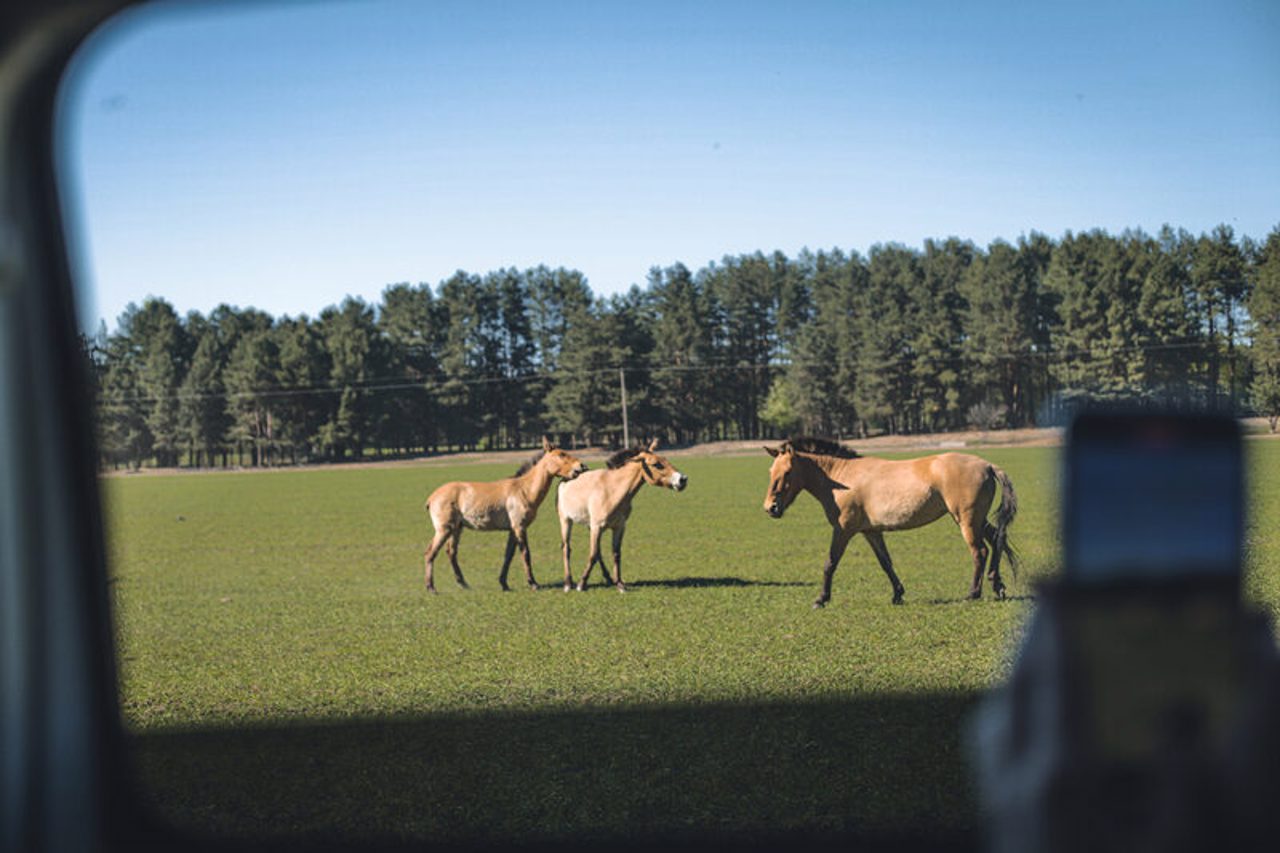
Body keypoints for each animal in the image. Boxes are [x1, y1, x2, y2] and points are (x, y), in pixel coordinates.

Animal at [427, 435, 591, 589]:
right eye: (561, 454)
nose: (582, 466)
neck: (524, 490)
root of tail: (431, 498)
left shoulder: (513, 530)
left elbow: (509, 556)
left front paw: (504, 583)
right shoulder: (519, 527)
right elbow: (525, 553)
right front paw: (533, 583)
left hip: (457, 528)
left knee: (451, 552)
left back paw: (463, 584)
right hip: (444, 529)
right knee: (430, 552)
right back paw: (431, 587)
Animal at [555, 435, 686, 589]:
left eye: (665, 459)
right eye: (657, 464)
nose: (682, 479)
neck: (611, 490)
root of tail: (564, 480)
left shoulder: (618, 527)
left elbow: (616, 554)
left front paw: (619, 583)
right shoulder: (597, 527)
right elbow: (592, 555)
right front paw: (582, 584)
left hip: (589, 526)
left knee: (598, 552)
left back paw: (608, 578)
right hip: (566, 521)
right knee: (566, 549)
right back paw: (568, 583)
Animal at [757, 435, 1018, 607]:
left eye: (787, 473)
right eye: (770, 472)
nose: (770, 508)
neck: (841, 478)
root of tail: (986, 465)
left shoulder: (843, 530)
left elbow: (830, 562)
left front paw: (821, 598)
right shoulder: (871, 532)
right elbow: (885, 563)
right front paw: (898, 593)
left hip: (966, 521)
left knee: (980, 552)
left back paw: (973, 593)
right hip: (975, 520)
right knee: (997, 540)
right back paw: (997, 585)